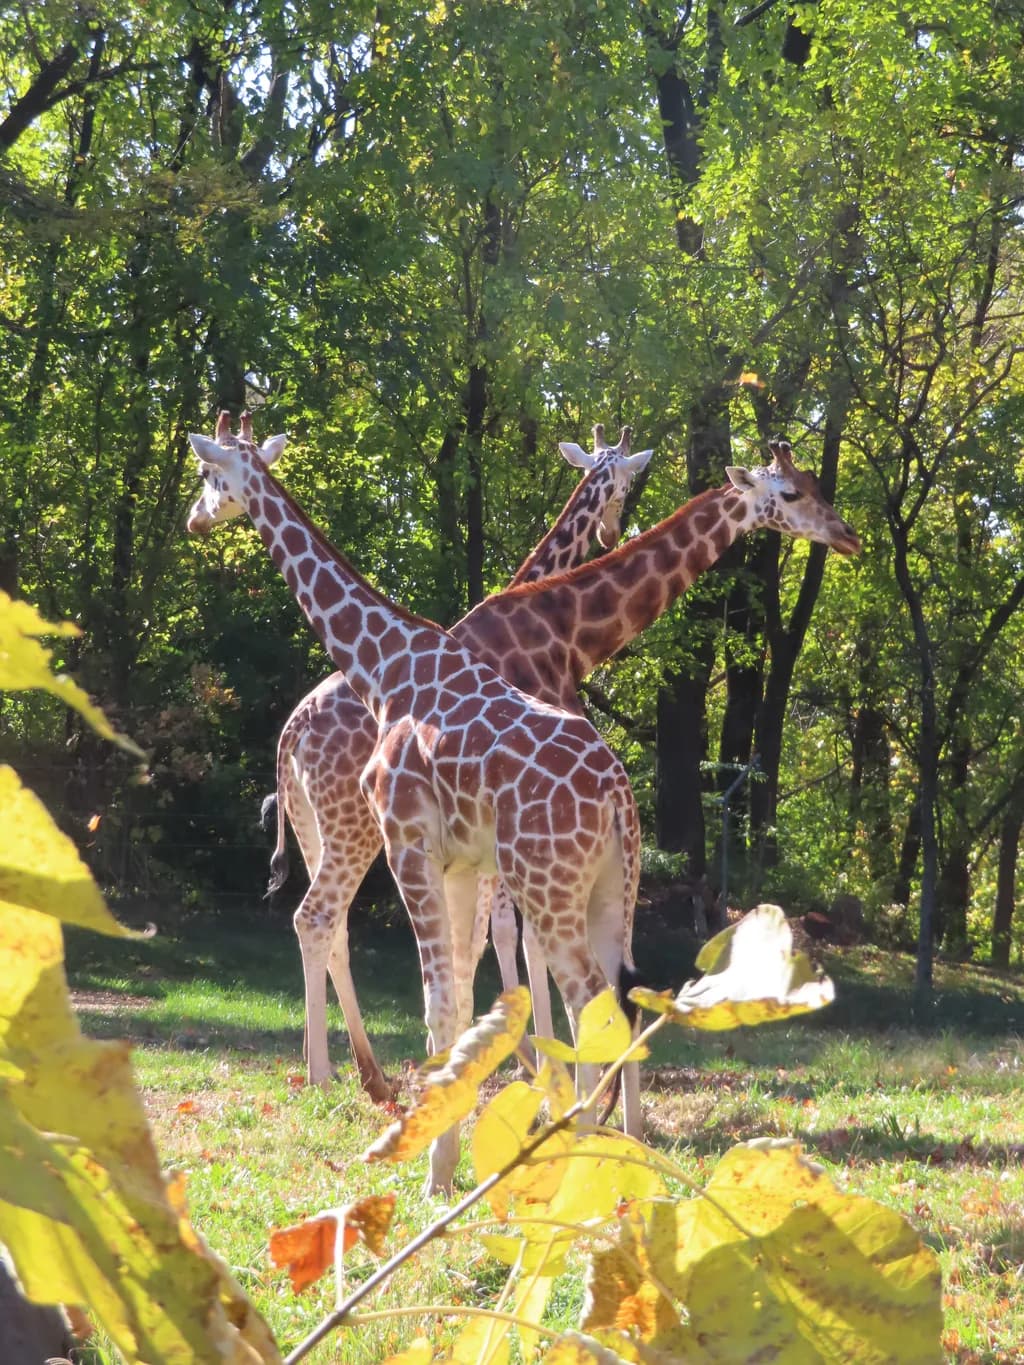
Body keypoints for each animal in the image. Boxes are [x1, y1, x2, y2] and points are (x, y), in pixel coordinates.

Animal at [187, 412, 646, 1194]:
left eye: (209, 475)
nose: (194, 518)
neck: (387, 668)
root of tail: (617, 793)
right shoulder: (459, 861)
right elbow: (460, 998)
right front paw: (448, 1145)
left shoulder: (410, 842)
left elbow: (442, 1003)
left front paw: (436, 1170)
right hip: (608, 888)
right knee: (617, 1000)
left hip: (545, 885)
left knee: (593, 1000)